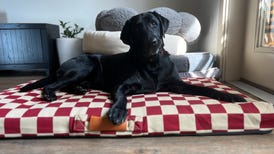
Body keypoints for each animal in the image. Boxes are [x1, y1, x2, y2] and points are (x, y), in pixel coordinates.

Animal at [20, 12, 245, 125]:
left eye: (154, 24)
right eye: (138, 28)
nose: (154, 42)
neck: (152, 63)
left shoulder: (177, 84)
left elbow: (204, 88)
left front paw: (231, 95)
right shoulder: (122, 86)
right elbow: (121, 97)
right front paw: (118, 112)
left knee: (67, 84)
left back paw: (79, 89)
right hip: (85, 66)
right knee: (55, 83)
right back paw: (50, 93)